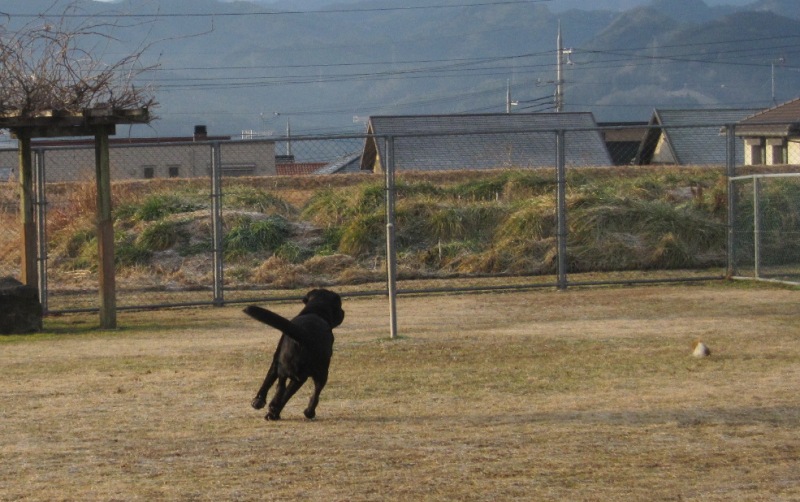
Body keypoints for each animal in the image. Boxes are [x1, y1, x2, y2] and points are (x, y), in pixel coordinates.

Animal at [244, 288, 344, 422]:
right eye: (339, 305)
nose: (343, 312)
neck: (315, 312)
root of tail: (304, 334)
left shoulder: (277, 360)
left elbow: (269, 378)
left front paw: (260, 401)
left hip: (290, 368)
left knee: (281, 388)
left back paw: (273, 409)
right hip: (311, 373)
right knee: (299, 392)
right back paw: (305, 412)